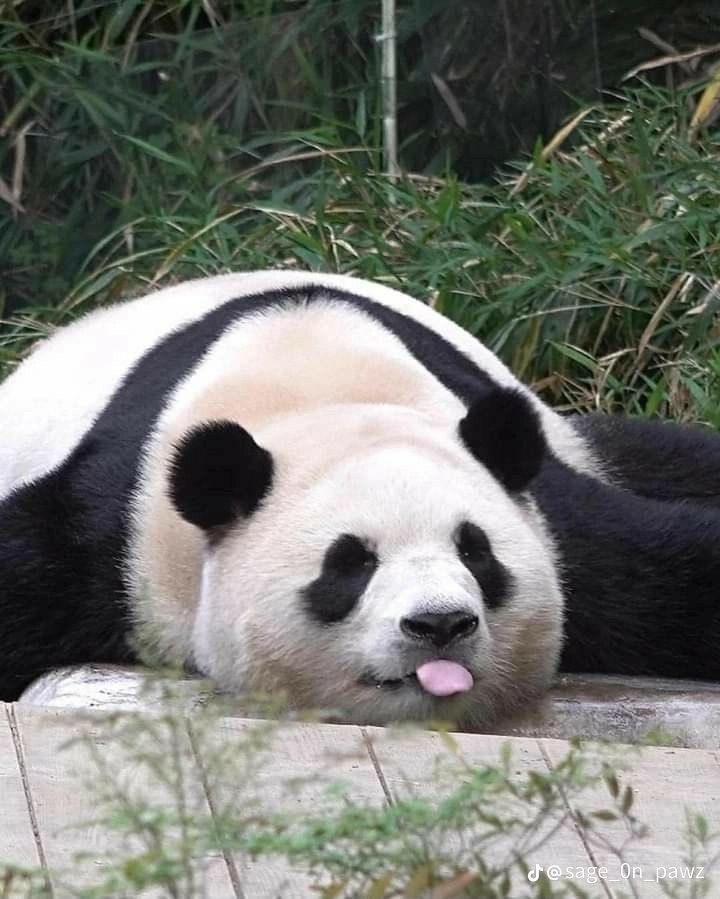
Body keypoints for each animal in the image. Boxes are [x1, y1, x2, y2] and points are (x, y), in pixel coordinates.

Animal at [1, 271, 719, 728]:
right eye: (349, 564)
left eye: (476, 551)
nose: (440, 624)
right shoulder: (120, 528)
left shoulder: (558, 521)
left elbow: (666, 570)